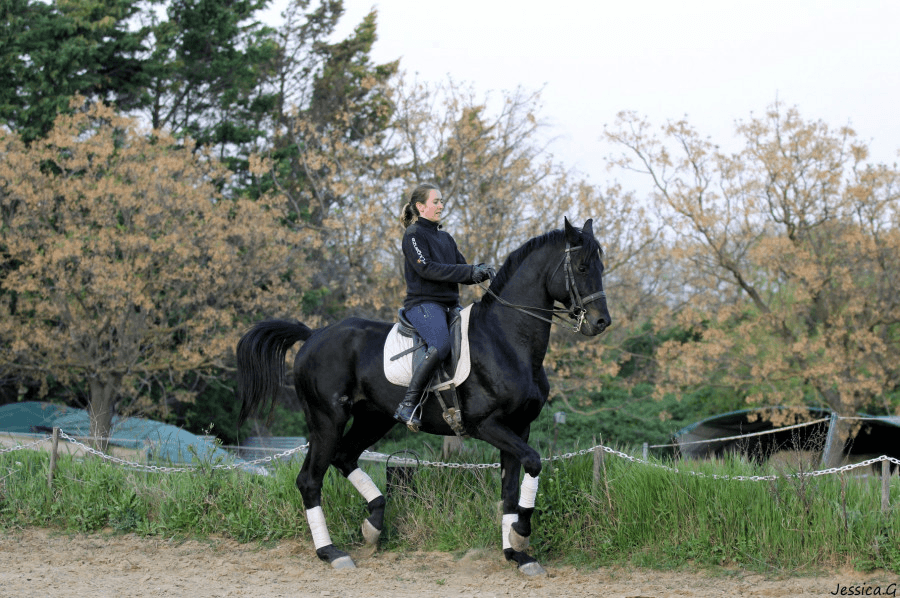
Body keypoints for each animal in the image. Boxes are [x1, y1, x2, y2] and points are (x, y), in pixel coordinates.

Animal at [235, 217, 611, 575]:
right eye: (581, 268)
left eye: (601, 268)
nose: (601, 322)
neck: (507, 340)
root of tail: (313, 335)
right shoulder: (486, 425)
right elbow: (533, 463)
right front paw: (520, 535)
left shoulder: (519, 429)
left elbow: (509, 490)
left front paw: (517, 555)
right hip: (327, 420)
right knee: (310, 480)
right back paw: (331, 553)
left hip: (374, 418)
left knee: (344, 458)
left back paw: (373, 524)